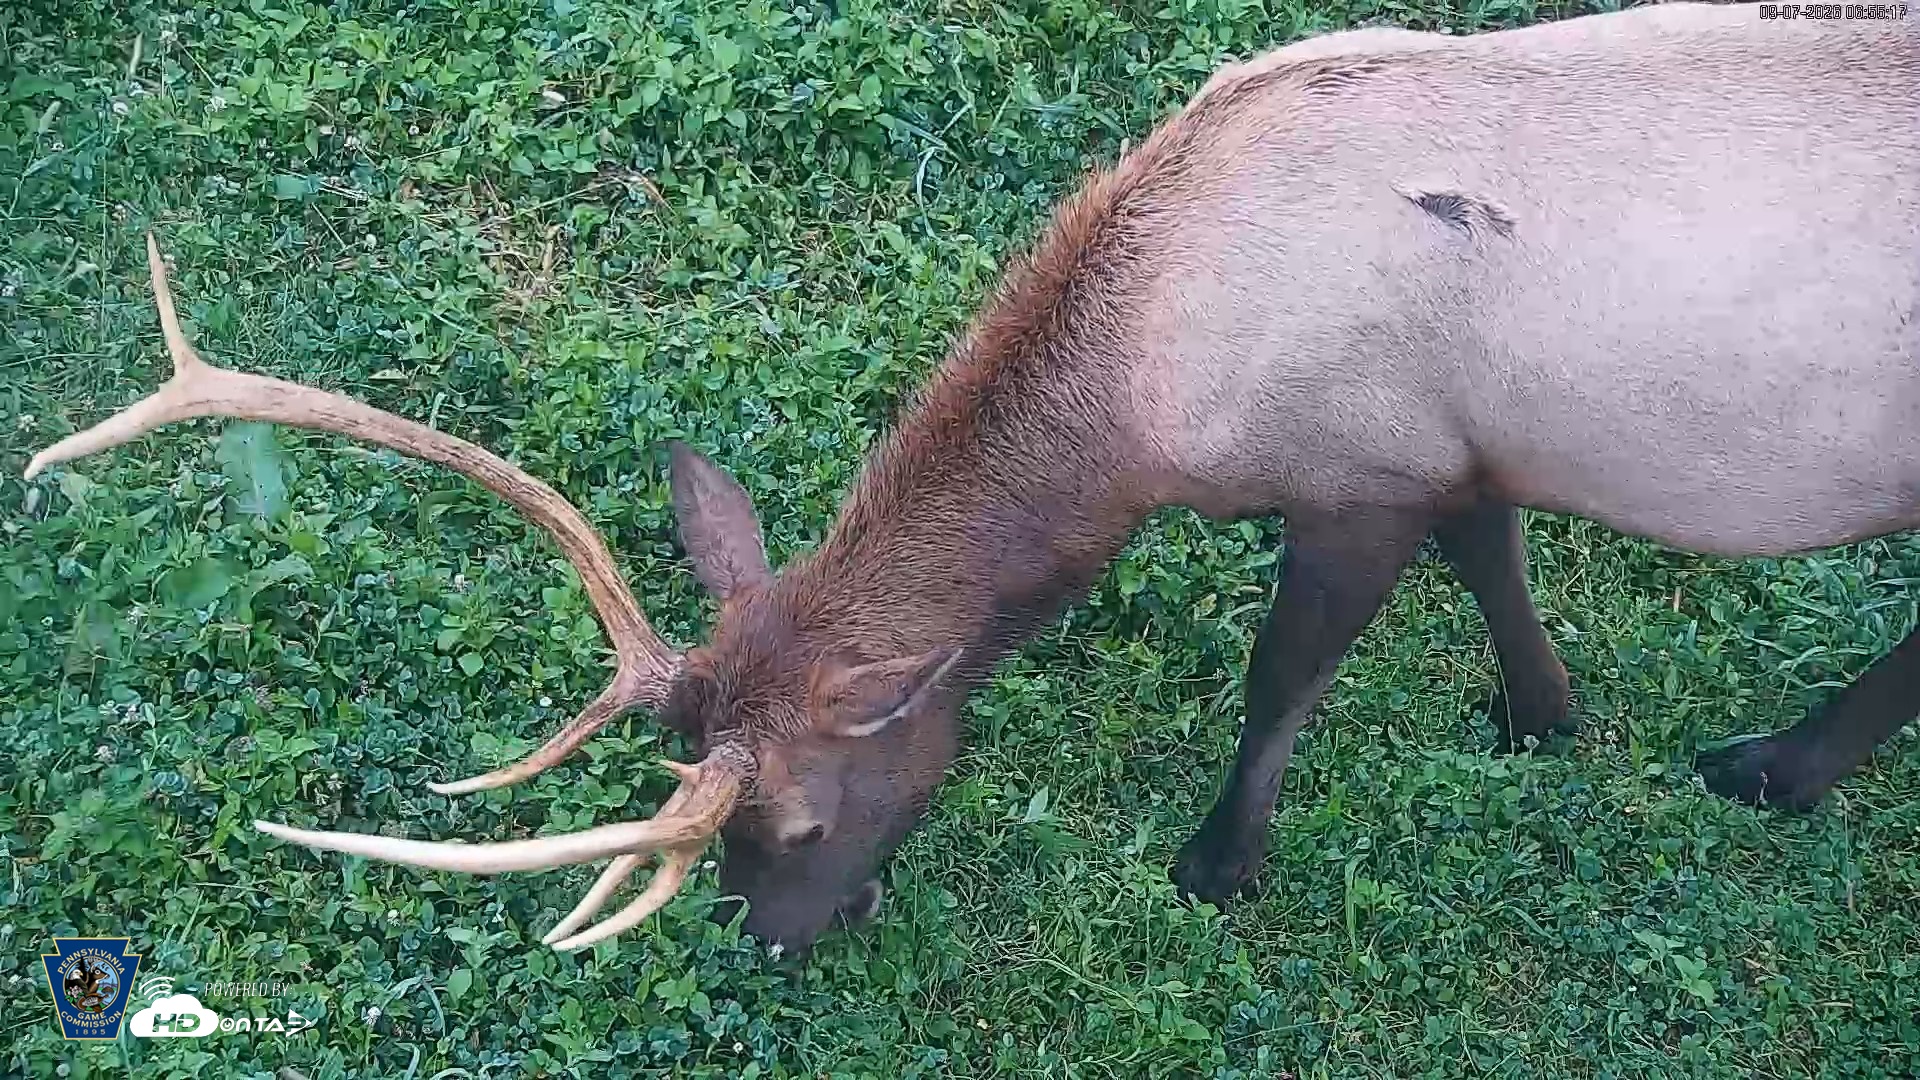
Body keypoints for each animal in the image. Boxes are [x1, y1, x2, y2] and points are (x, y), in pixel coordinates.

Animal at [25, 2, 1918, 956]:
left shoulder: (1351, 476)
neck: (1156, 407)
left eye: (792, 818)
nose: (767, 945)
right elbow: (1499, 550)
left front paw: (1218, 867)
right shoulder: (1445, 438)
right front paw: (1542, 715)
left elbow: (1284, 675)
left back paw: (1777, 764)